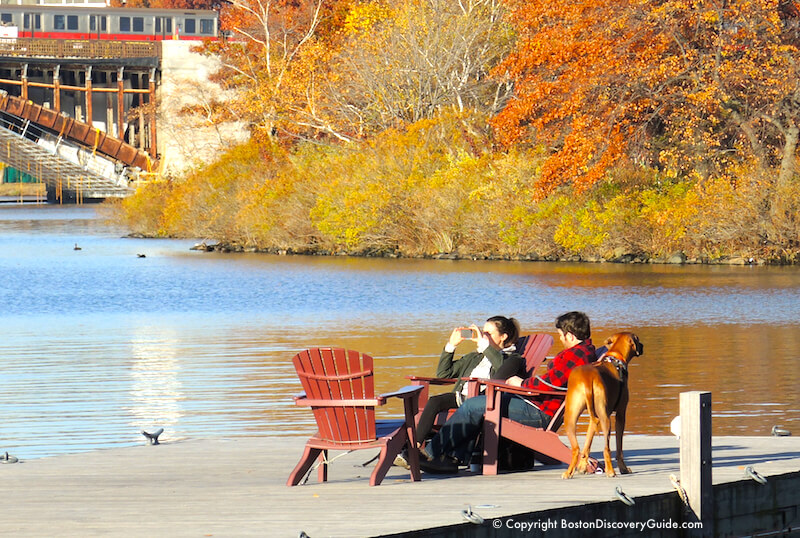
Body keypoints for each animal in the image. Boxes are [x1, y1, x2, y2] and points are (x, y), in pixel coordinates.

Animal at [564, 330, 644, 478]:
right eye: (638, 340)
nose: (642, 346)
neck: (616, 357)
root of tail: (587, 378)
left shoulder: (593, 418)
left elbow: (587, 445)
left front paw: (582, 467)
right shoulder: (620, 414)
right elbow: (619, 447)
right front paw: (623, 468)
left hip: (571, 418)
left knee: (576, 448)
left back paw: (568, 472)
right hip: (605, 418)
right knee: (606, 449)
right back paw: (611, 471)